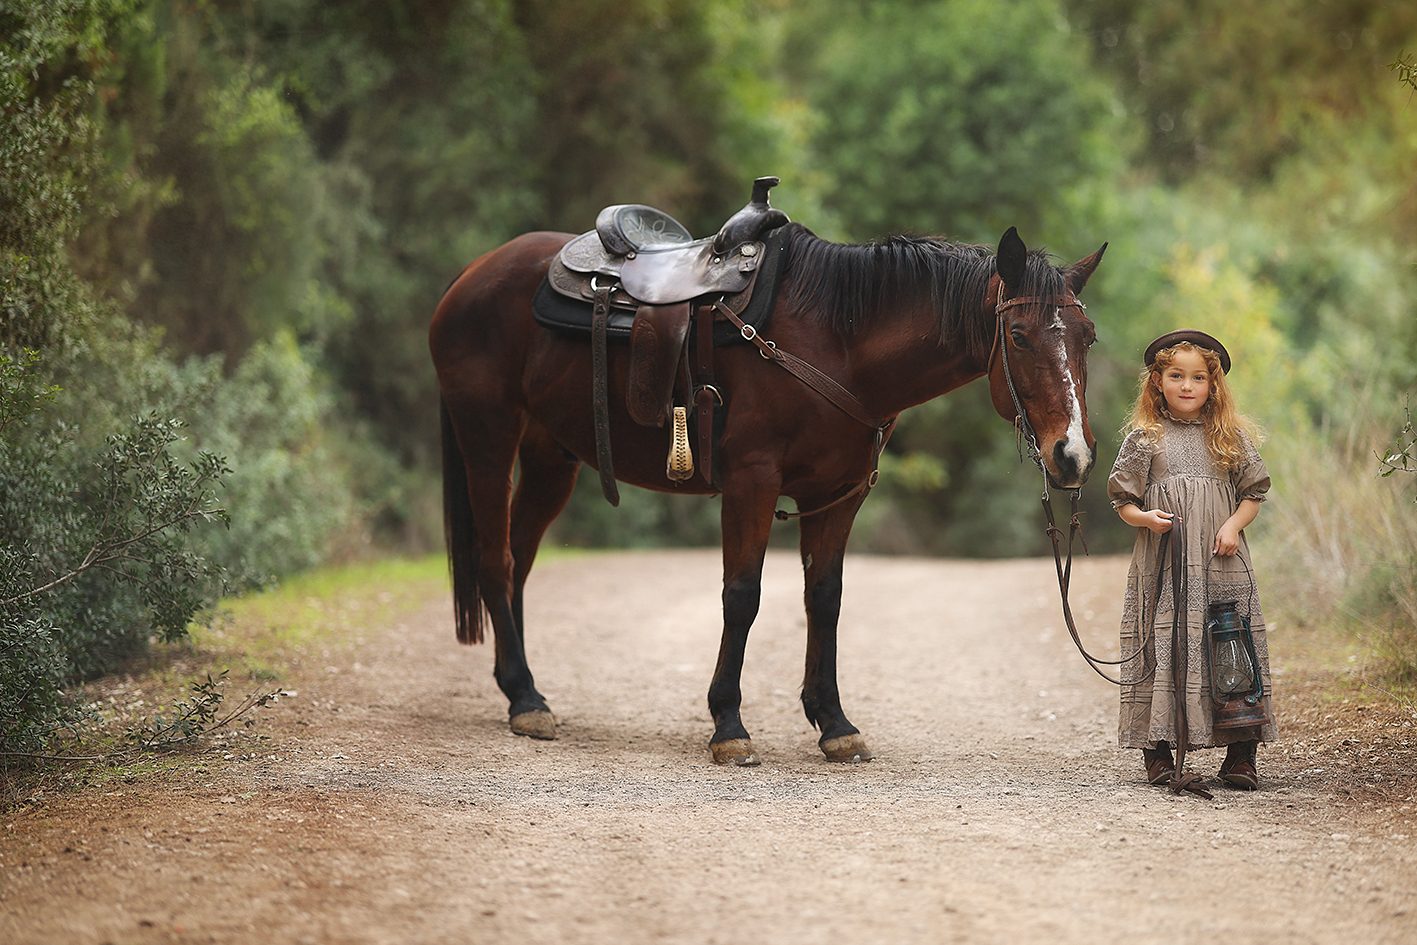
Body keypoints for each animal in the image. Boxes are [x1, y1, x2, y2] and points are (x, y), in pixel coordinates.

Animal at [430, 218, 1105, 765]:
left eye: (1088, 336)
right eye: (1019, 336)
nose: (1071, 455)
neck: (835, 341)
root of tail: (471, 276)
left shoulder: (838, 495)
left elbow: (824, 598)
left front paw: (834, 723)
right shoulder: (751, 484)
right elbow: (742, 596)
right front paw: (729, 724)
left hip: (552, 459)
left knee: (518, 562)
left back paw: (523, 690)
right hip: (488, 438)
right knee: (496, 561)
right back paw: (523, 698)